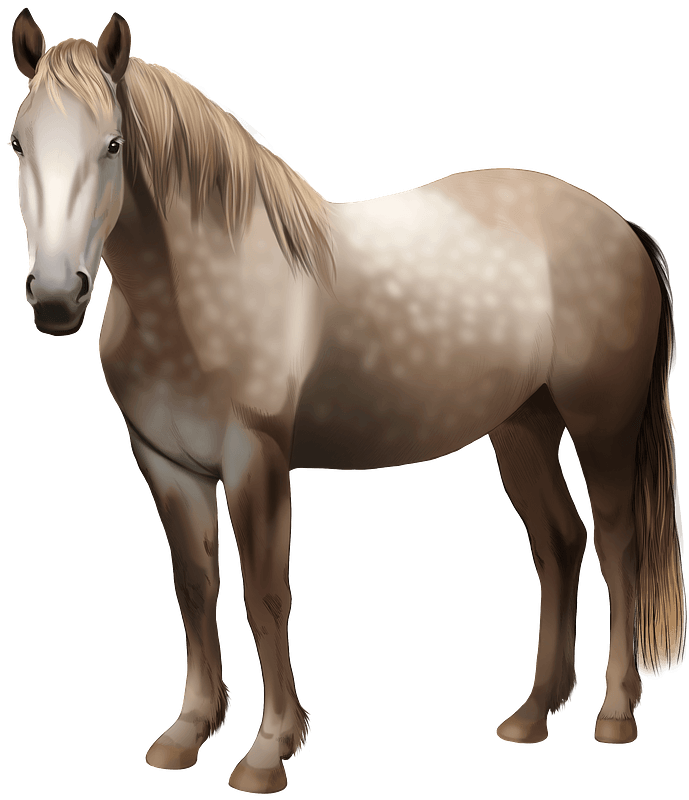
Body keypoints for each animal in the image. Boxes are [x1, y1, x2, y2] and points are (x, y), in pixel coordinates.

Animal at [10, 8, 686, 794]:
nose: (57, 298)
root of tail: (619, 225)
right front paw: (187, 732)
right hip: (521, 428)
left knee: (616, 547)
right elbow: (195, 588)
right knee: (558, 544)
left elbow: (265, 595)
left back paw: (614, 712)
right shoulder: (165, 463)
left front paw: (269, 748)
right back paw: (530, 715)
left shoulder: (256, 459)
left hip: (600, 426)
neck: (200, 289)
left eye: (113, 144)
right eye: (18, 142)